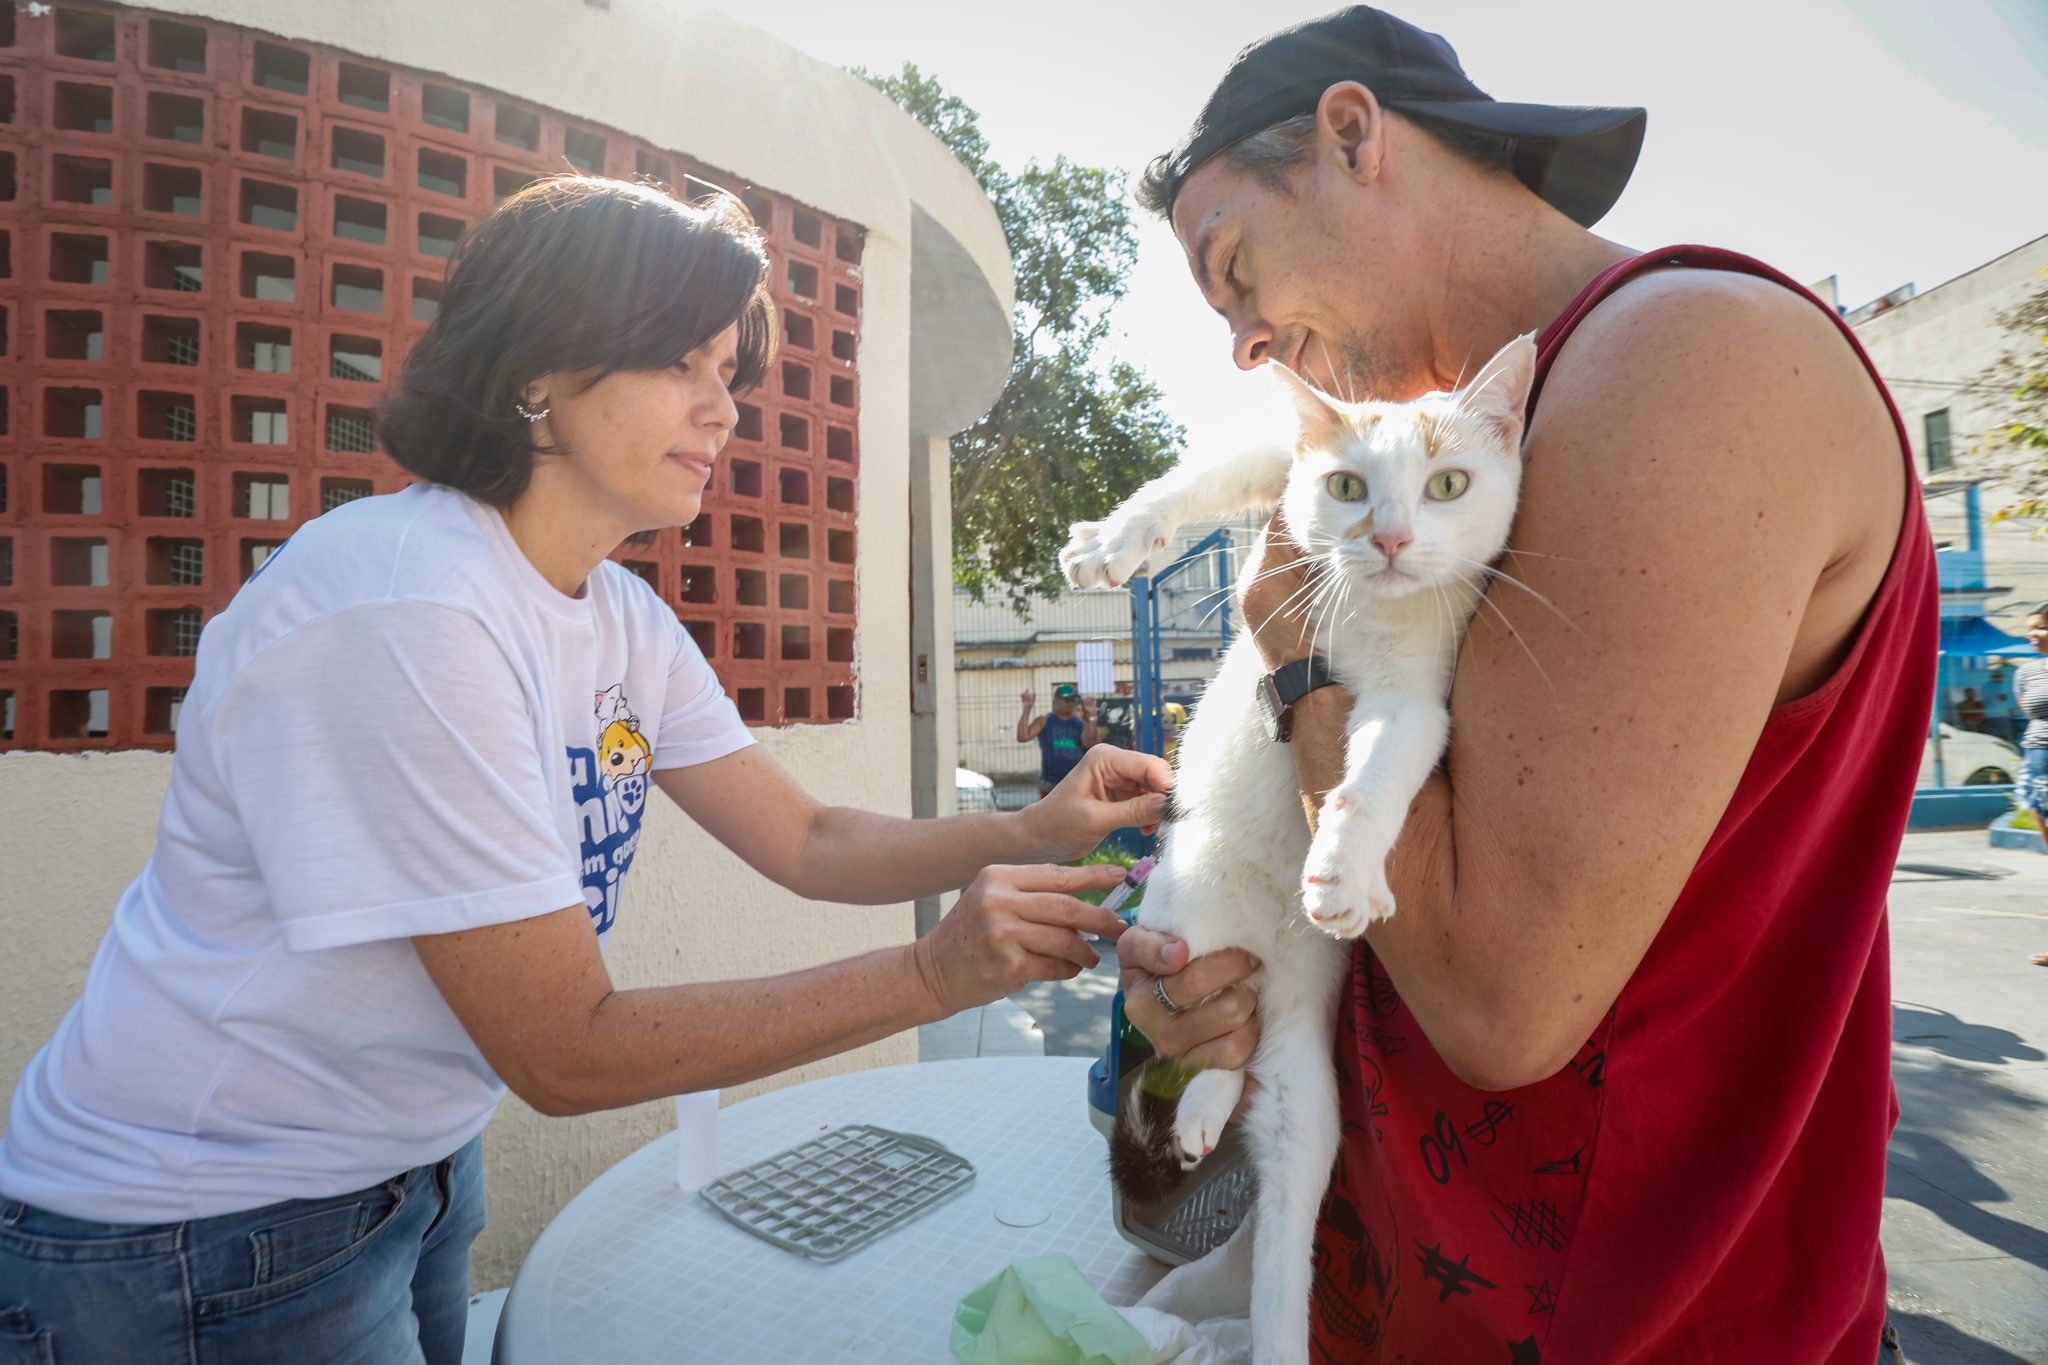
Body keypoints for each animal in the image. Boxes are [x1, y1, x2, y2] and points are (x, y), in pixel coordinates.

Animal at [1073, 335, 1540, 1365]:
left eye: (1448, 484)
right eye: (1348, 485)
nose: (1390, 539)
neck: (1370, 611)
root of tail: (1262, 954)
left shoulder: (1416, 701)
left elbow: (1375, 778)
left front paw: (1344, 868)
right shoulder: (1275, 465)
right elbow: (1201, 473)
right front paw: (1113, 541)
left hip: (1304, 1080)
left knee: (1271, 1123)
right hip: (1187, 915)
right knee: (1219, 1036)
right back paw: (1202, 1108)